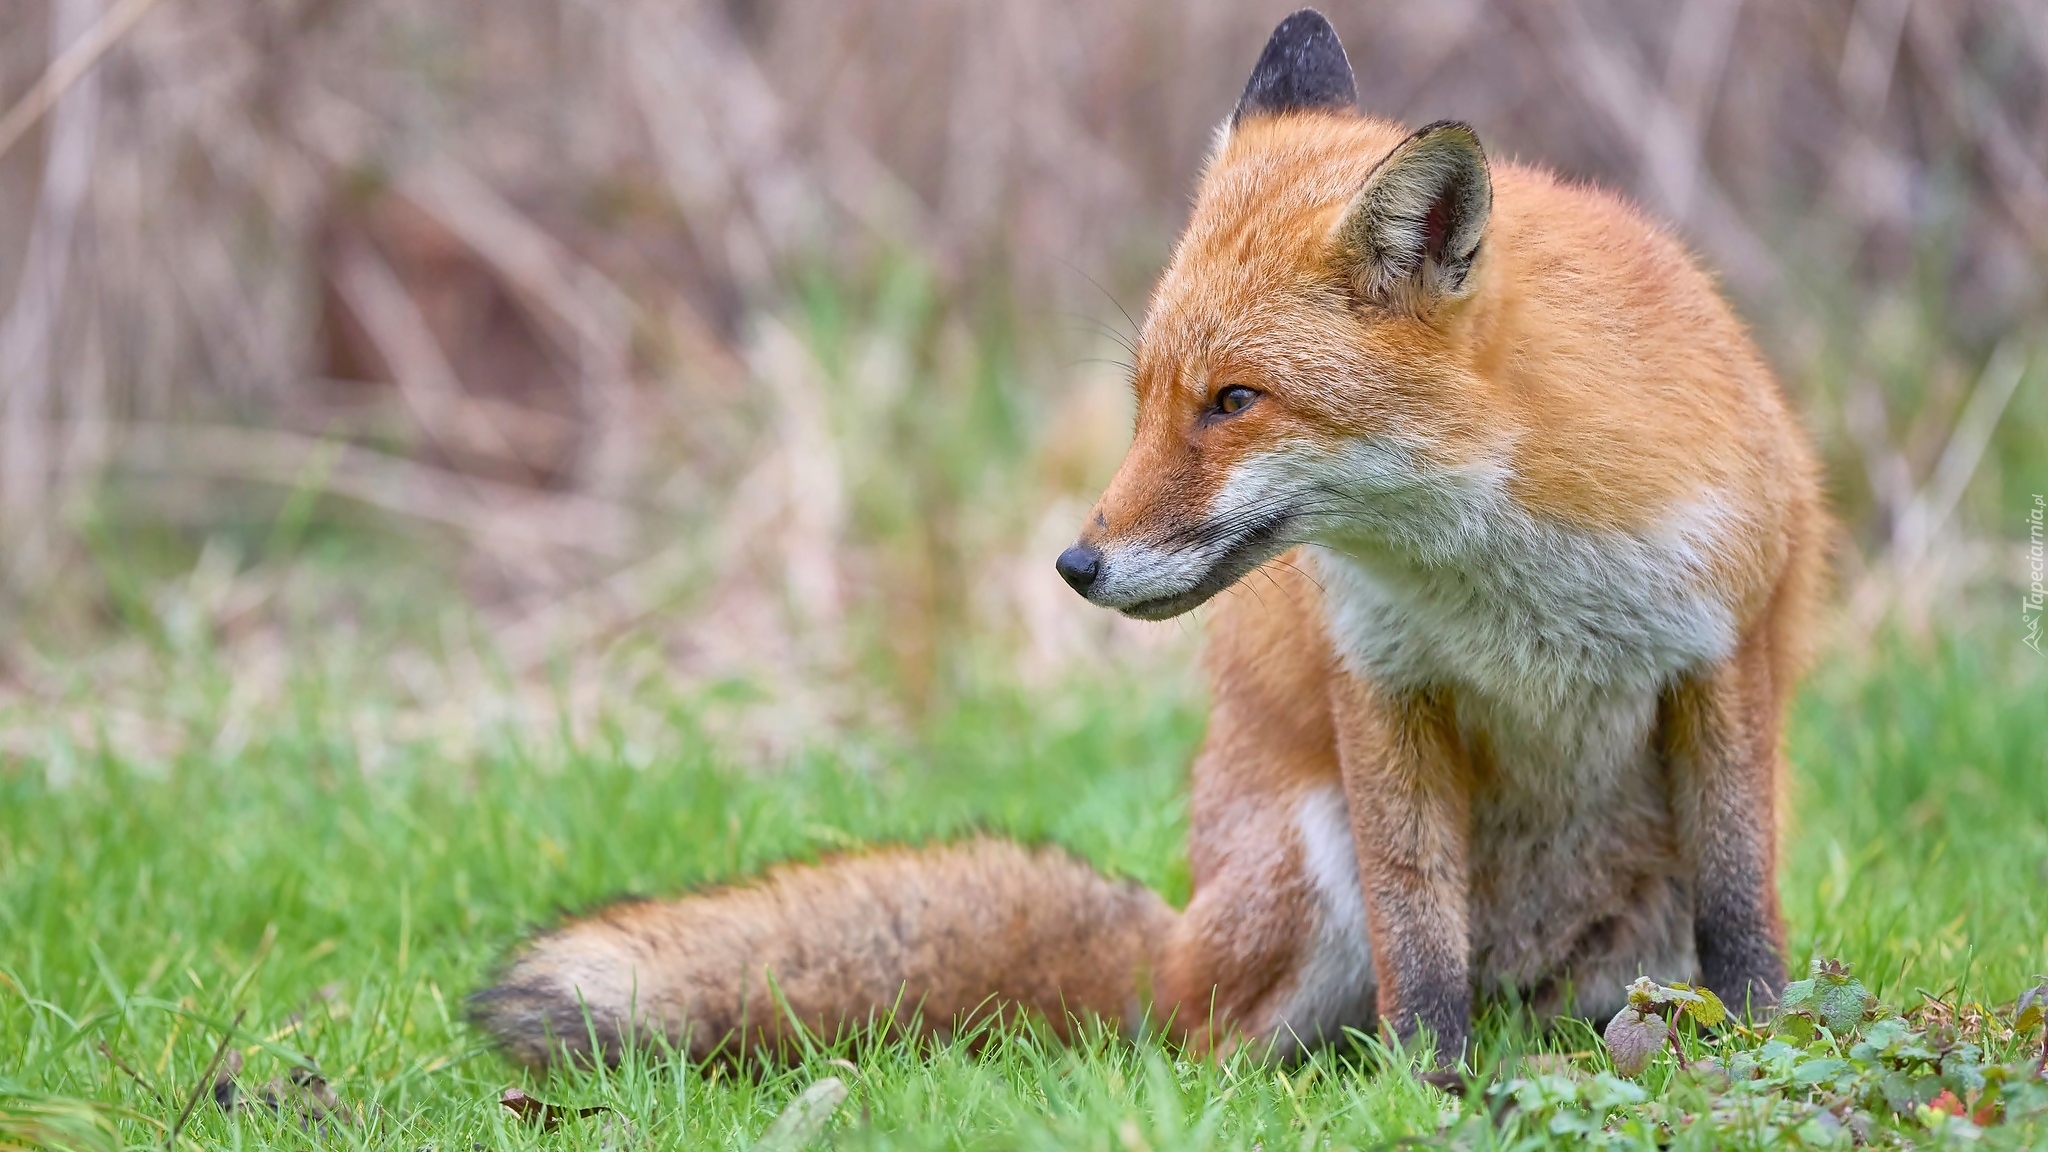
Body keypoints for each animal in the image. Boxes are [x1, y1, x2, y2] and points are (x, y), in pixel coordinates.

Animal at [475, 6, 1826, 1065]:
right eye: (1147, 397)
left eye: (1232, 401)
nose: (1074, 567)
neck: (1510, 570)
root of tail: (1170, 943)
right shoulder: (1383, 684)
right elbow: (1420, 946)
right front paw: (1429, 1093)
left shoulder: (1720, 655)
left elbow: (1742, 919)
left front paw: (1755, 1049)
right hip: (1304, 868)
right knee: (1205, 1047)